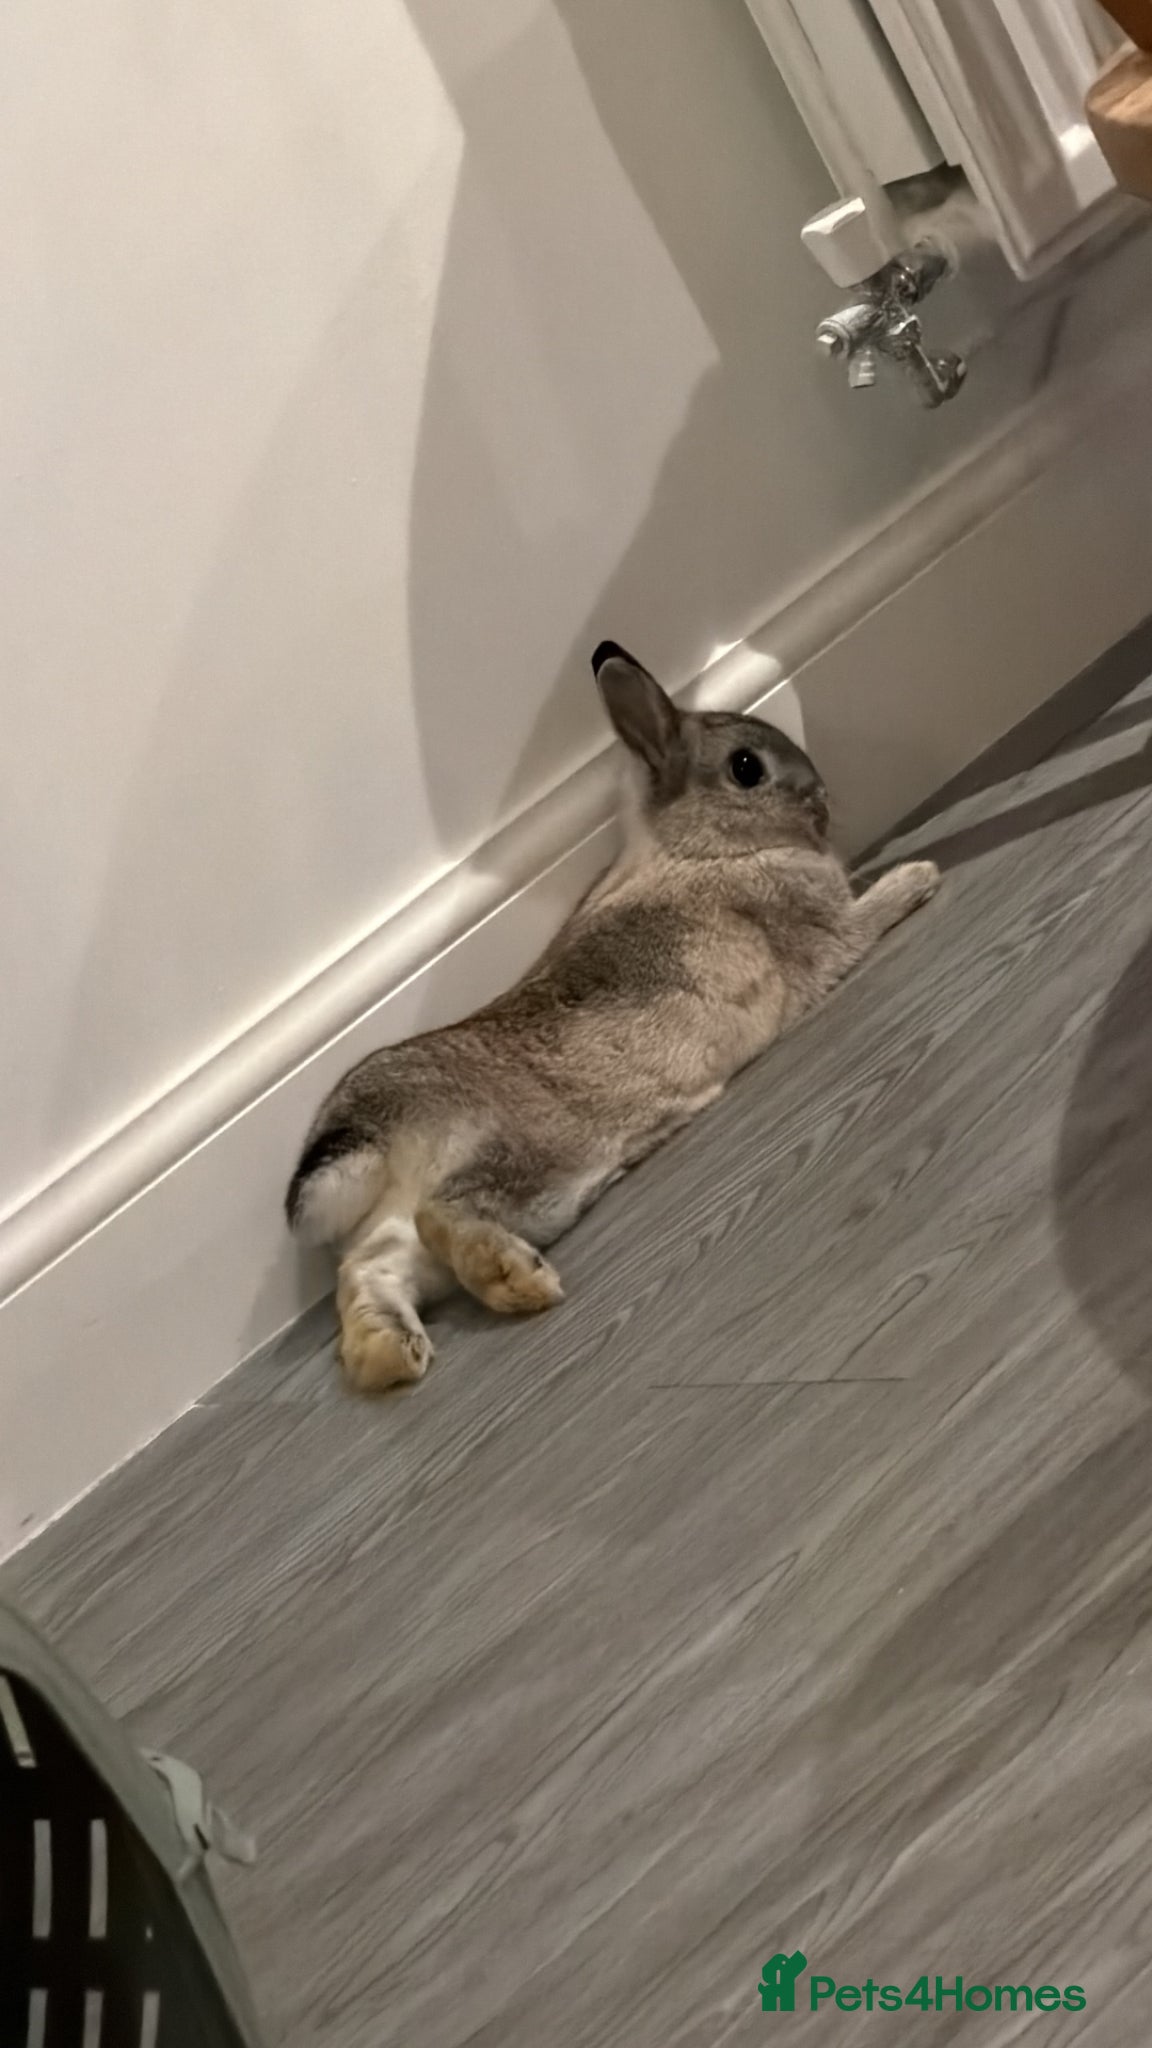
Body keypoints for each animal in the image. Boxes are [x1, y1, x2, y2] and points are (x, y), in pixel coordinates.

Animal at [286, 641, 940, 1392]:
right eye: (748, 768)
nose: (821, 799)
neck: (701, 848)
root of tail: (373, 1129)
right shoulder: (825, 939)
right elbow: (863, 919)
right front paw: (918, 875)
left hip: (447, 1221)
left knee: (370, 1270)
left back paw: (387, 1355)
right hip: (533, 1158)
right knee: (440, 1211)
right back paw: (518, 1281)